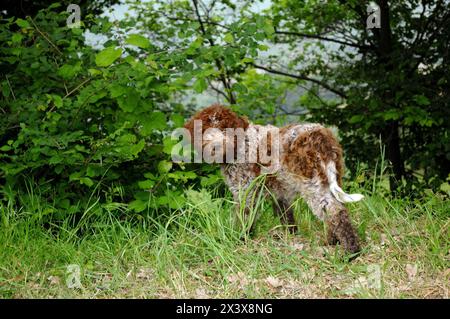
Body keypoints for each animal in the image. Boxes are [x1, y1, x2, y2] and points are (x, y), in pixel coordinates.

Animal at [185, 104, 364, 255]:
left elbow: (245, 216)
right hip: (331, 178)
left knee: (335, 211)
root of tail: (321, 135)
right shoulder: (280, 193)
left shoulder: (247, 190)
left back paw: (350, 250)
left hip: (313, 183)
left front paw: (241, 238)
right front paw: (291, 236)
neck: (240, 146)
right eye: (204, 130)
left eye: (225, 129)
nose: (215, 147)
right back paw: (333, 241)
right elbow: (286, 216)